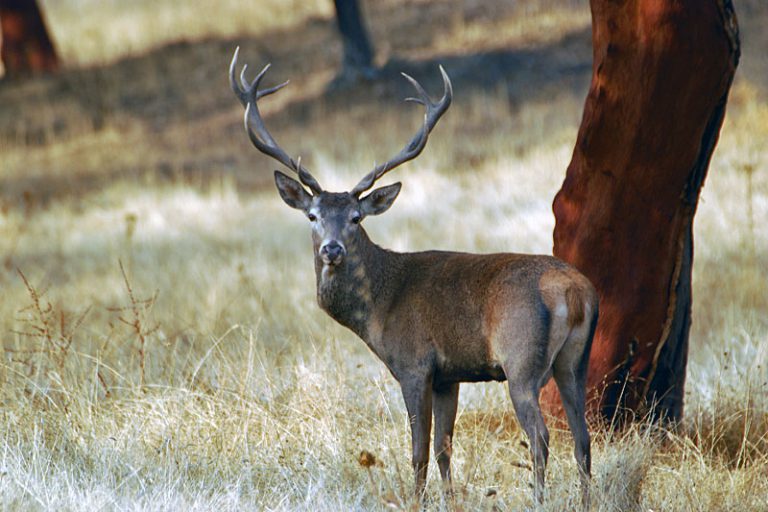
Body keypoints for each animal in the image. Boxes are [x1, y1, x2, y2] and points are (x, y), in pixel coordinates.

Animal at [230, 47, 600, 508]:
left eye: (356, 217)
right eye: (312, 216)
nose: (331, 249)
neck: (379, 309)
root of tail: (577, 292)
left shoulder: (414, 364)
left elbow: (419, 451)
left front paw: (417, 501)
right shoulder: (449, 375)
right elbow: (444, 447)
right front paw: (450, 501)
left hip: (522, 359)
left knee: (542, 438)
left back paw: (539, 500)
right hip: (576, 361)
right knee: (583, 440)